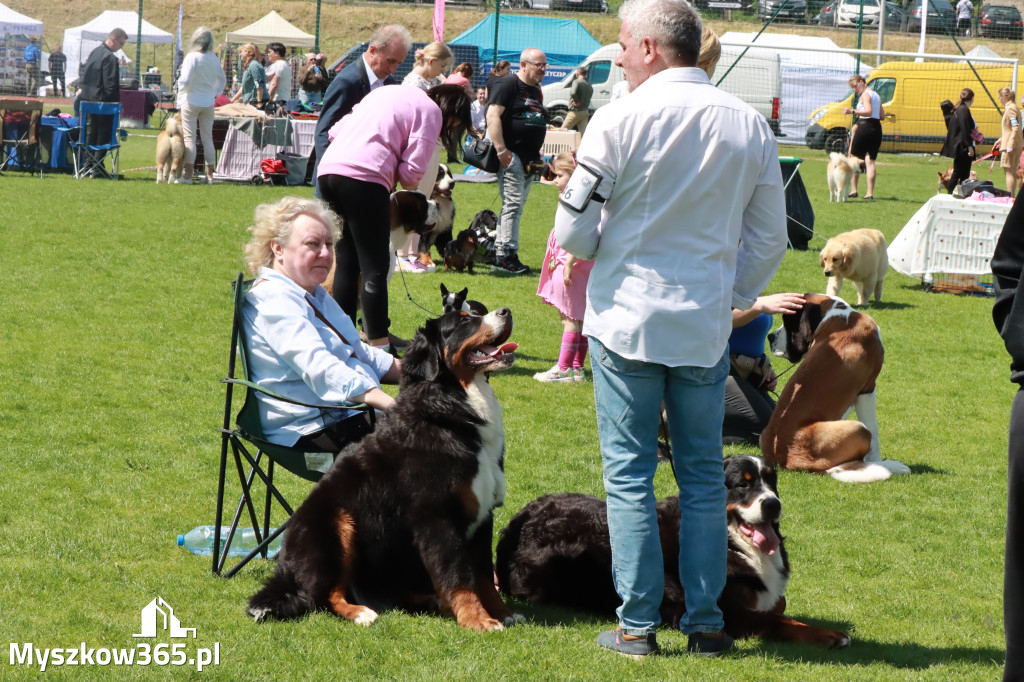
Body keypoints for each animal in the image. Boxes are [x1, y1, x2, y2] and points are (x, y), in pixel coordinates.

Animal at [245, 305, 520, 630]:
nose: (506, 311)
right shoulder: (437, 518)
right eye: (464, 320)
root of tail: (284, 563)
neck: (450, 409)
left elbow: (483, 575)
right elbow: (458, 576)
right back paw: (360, 612)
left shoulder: (482, 515)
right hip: (336, 524)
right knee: (323, 594)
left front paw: (502, 612)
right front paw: (477, 619)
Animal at [761, 292, 913, 483]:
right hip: (858, 428)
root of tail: (784, 460)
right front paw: (878, 460)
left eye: (788, 322)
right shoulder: (868, 389)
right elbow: (874, 430)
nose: (770, 336)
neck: (841, 316)